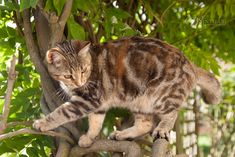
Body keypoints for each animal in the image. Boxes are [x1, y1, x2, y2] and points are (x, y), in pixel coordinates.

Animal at [32, 36, 220, 147]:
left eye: (84, 71)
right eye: (68, 75)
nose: (80, 82)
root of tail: (190, 63)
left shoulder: (87, 100)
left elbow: (61, 113)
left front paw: (43, 123)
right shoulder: (98, 104)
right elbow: (95, 123)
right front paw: (89, 138)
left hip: (161, 96)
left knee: (171, 113)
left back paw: (162, 129)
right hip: (140, 101)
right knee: (145, 124)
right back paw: (122, 134)